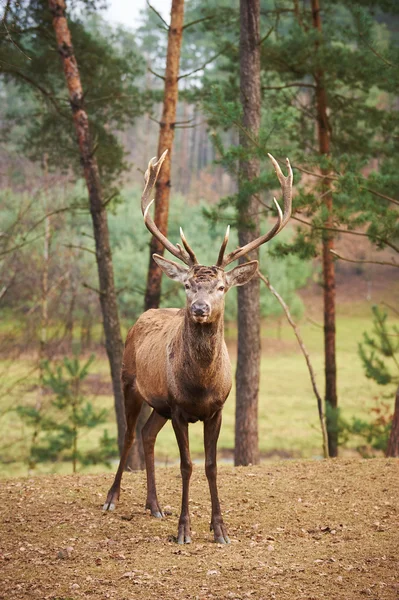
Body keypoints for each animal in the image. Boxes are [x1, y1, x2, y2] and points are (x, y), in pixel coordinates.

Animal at [104, 150, 294, 544]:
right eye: (189, 284)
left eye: (221, 287)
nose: (199, 309)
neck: (201, 384)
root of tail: (142, 317)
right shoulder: (179, 408)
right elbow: (186, 465)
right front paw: (184, 529)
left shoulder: (216, 409)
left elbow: (210, 465)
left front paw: (220, 528)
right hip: (129, 382)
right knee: (129, 436)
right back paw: (112, 498)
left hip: (158, 404)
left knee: (146, 434)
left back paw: (154, 505)